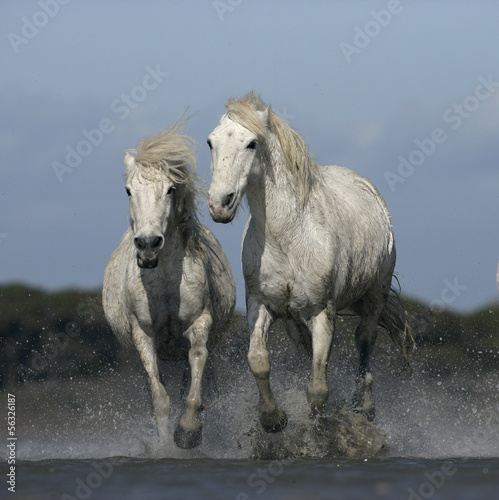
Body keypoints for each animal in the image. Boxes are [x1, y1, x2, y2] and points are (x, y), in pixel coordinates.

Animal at [103, 118, 236, 450]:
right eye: (128, 191)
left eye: (170, 189)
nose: (149, 245)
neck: (163, 280)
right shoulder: (144, 335)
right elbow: (159, 400)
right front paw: (165, 446)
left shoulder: (199, 324)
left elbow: (196, 372)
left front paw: (188, 432)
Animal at [206, 94, 414, 434]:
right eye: (211, 142)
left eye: (251, 143)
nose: (219, 203)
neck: (288, 238)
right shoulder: (260, 304)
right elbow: (259, 361)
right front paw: (273, 419)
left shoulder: (321, 311)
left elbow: (318, 388)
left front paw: (317, 430)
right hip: (295, 321)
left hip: (375, 295)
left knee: (365, 339)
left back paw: (364, 405)